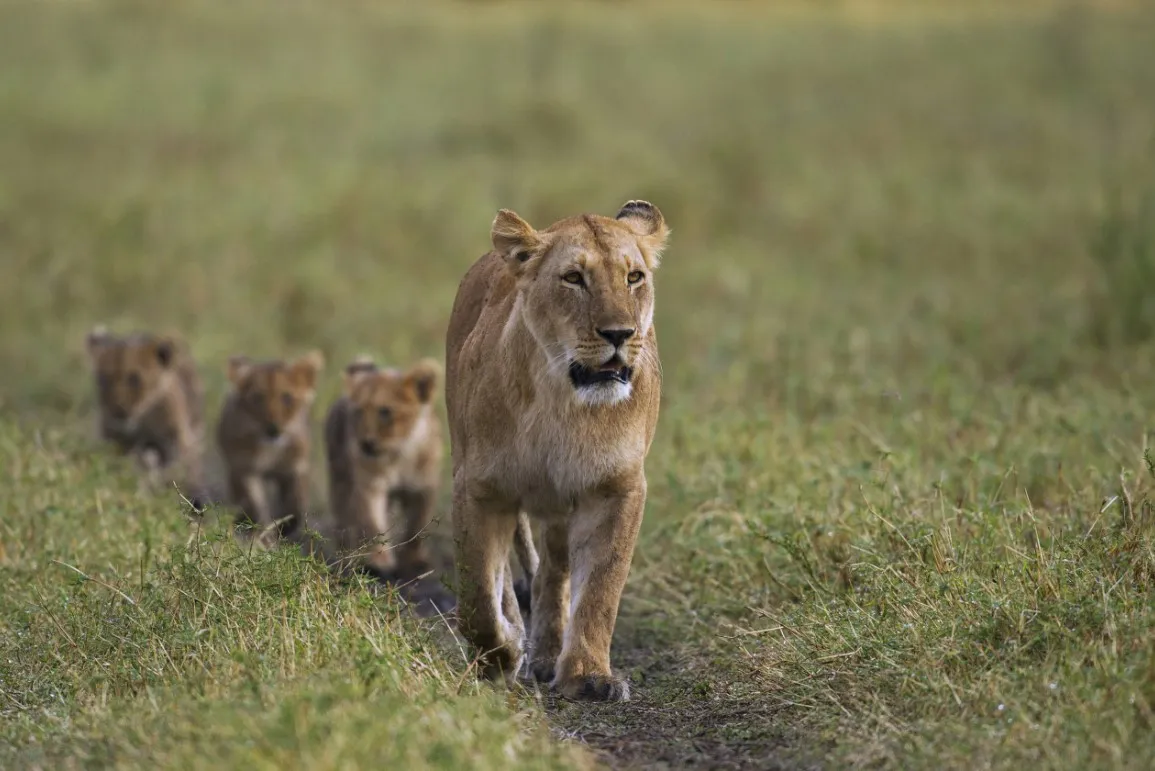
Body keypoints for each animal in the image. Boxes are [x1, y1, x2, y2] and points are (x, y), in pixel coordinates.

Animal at [84, 325, 208, 507]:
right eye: (103, 379)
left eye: (134, 378)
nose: (118, 412)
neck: (143, 419)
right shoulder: (115, 439)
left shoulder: (176, 438)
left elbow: (175, 467)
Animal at [215, 350, 324, 541]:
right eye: (257, 397)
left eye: (287, 397)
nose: (273, 429)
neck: (270, 449)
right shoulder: (244, 467)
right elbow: (253, 502)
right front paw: (261, 530)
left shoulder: (295, 468)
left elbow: (294, 502)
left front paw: (285, 527)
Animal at [445, 199, 668, 701]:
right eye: (573, 278)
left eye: (634, 277)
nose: (619, 333)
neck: (564, 405)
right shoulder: (480, 488)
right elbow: (479, 596)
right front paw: (503, 652)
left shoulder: (617, 488)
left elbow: (601, 588)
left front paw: (588, 676)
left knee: (554, 571)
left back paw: (548, 655)